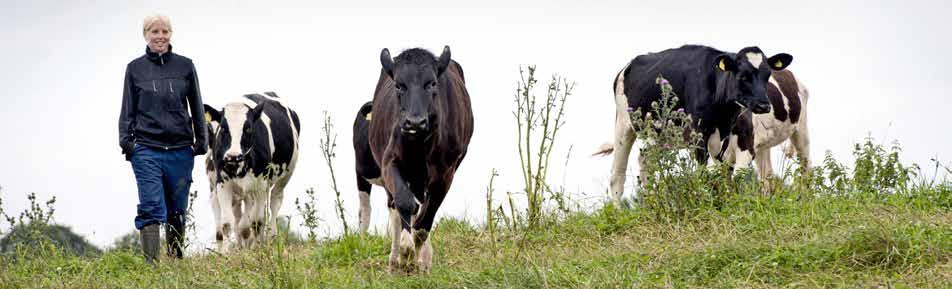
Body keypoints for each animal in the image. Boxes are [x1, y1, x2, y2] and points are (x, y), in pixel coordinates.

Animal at [203, 91, 300, 251]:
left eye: (248, 128)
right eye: (223, 128)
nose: (233, 155)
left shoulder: (260, 185)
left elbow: (253, 222)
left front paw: (254, 249)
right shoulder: (222, 184)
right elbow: (227, 223)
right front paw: (225, 253)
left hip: (286, 175)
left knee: (273, 204)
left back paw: (271, 239)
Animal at [368, 45, 472, 272]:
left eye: (431, 83)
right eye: (399, 85)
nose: (414, 123)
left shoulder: (446, 173)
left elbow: (425, 222)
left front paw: (420, 256)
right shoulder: (389, 161)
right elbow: (405, 203)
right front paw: (405, 252)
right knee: (396, 207)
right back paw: (395, 261)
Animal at [596, 45, 796, 202]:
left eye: (767, 75)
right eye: (743, 76)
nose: (764, 105)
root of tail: (627, 66)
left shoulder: (733, 138)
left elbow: (728, 174)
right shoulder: (699, 136)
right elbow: (702, 172)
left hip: (660, 135)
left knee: (645, 160)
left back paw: (650, 201)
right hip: (623, 124)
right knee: (617, 175)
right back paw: (618, 212)